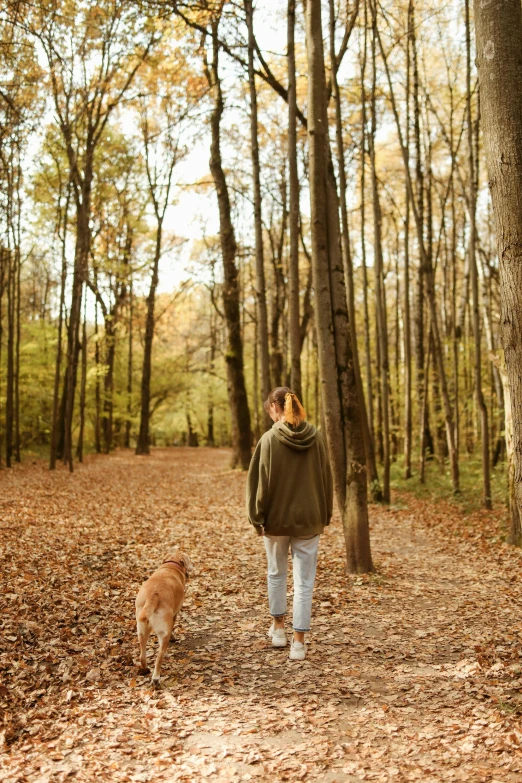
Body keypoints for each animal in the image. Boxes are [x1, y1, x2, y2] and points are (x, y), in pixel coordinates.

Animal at [134, 552, 193, 688]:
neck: (171, 565)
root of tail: (153, 596)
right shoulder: (175, 614)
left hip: (141, 631)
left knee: (142, 656)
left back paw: (145, 669)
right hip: (163, 633)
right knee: (159, 657)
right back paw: (156, 678)